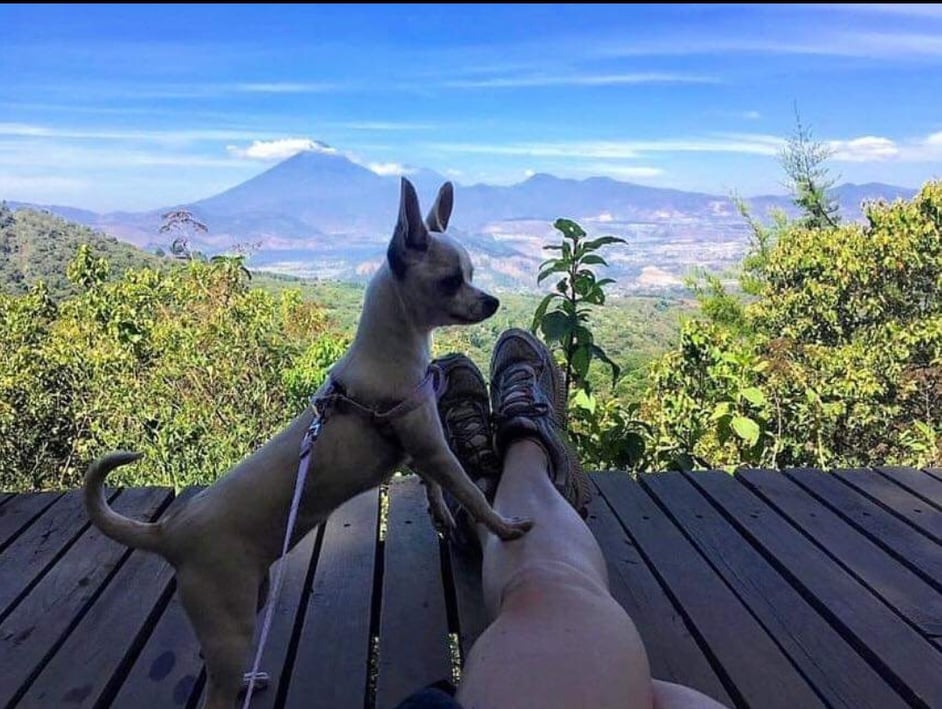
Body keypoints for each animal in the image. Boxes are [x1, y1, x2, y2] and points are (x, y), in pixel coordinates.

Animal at [85, 178, 536, 708]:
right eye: (451, 281)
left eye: (473, 274)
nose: (492, 302)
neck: (392, 351)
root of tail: (168, 532)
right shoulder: (432, 449)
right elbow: (468, 491)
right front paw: (504, 526)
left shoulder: (421, 450)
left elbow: (436, 491)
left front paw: (444, 518)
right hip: (230, 622)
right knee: (215, 689)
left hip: (249, 599)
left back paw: (248, 682)